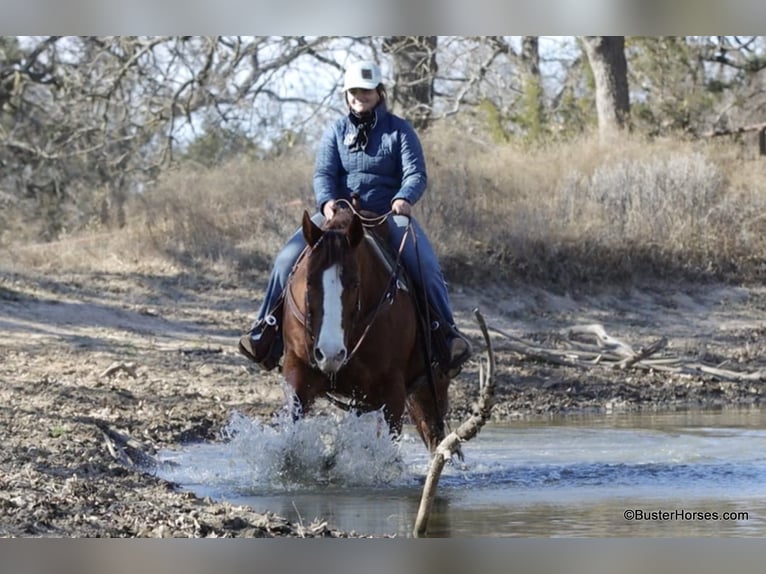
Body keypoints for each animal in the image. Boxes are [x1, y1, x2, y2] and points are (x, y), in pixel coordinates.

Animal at [280, 207, 450, 454]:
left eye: (355, 283)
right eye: (309, 281)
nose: (330, 353)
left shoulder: (393, 392)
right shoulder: (298, 373)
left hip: (428, 391)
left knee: (434, 433)